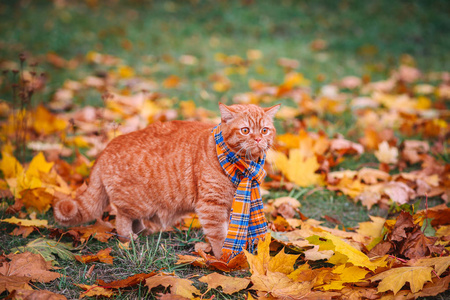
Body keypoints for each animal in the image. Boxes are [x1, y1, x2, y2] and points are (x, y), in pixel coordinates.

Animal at [52, 103, 278, 258]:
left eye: (264, 130)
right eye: (245, 130)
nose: (258, 139)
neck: (241, 166)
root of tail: (106, 148)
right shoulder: (211, 206)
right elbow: (219, 236)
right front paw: (225, 258)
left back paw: (143, 231)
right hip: (137, 203)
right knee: (122, 218)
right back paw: (129, 237)